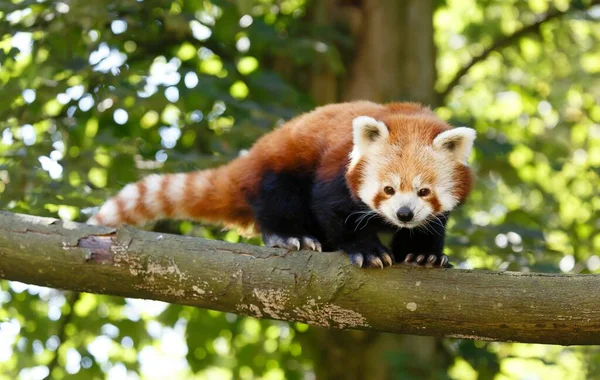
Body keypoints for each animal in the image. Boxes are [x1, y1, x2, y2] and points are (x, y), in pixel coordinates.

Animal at [86, 101, 476, 268]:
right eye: (388, 189)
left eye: (424, 191)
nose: (404, 214)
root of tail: (251, 156)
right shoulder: (334, 169)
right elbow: (333, 209)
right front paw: (366, 250)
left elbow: (433, 226)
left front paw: (424, 253)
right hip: (278, 169)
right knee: (279, 202)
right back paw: (291, 236)